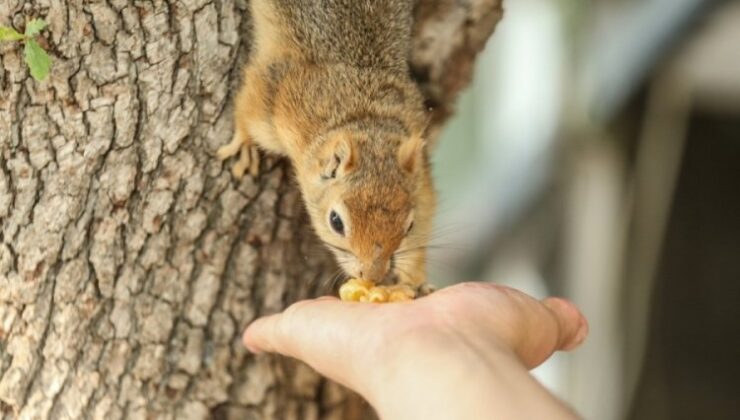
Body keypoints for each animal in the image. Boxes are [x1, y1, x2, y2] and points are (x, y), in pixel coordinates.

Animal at [217, 0, 436, 298]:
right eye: (336, 222)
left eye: (409, 226)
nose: (372, 275)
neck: (364, 117)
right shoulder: (281, 94)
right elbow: (249, 108)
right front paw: (244, 144)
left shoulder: (419, 175)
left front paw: (416, 279)